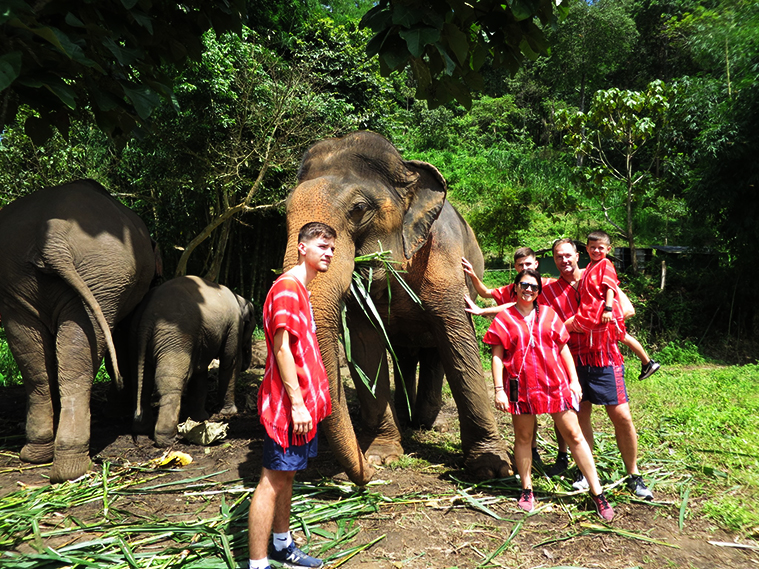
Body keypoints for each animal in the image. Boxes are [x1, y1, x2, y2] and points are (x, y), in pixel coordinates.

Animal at [0, 180, 160, 482]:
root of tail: (53, 237)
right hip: (100, 276)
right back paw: (70, 467)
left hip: (33, 279)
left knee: (36, 360)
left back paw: (39, 456)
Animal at [132, 276, 256, 448]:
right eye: (251, 326)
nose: (247, 365)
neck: (238, 298)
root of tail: (147, 318)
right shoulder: (234, 325)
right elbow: (229, 363)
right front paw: (229, 412)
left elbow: (199, 373)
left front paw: (201, 417)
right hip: (176, 337)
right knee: (169, 382)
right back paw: (167, 439)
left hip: (137, 337)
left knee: (143, 380)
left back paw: (142, 429)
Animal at [286, 131, 516, 482]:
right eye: (284, 212)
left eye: (358, 208)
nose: (366, 476)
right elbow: (365, 347)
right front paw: (381, 457)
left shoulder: (442, 258)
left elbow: (459, 343)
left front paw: (492, 468)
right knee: (406, 354)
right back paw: (408, 418)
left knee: (436, 352)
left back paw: (427, 422)